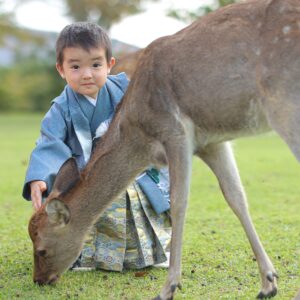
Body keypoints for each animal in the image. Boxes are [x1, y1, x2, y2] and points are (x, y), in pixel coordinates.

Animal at [28, 0, 300, 298]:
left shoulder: (175, 131)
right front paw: (268, 282)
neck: (138, 136)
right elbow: (236, 196)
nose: (39, 280)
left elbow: (179, 203)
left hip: (284, 102)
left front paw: (169, 286)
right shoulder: (213, 142)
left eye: (41, 250)